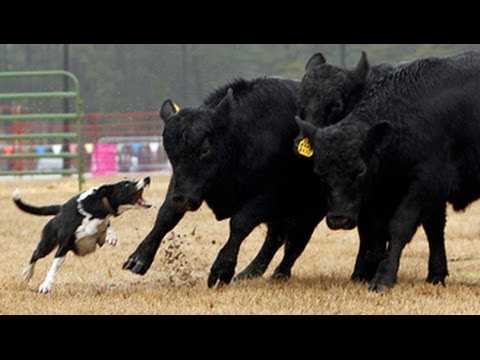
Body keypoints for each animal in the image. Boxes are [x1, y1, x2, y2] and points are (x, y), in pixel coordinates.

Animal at [12, 177, 152, 292]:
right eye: (127, 184)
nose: (147, 178)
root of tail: (59, 209)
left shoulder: (99, 233)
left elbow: (107, 226)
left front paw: (111, 236)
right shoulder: (64, 247)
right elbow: (53, 268)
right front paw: (45, 285)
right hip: (47, 244)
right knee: (35, 254)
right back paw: (27, 272)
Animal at [123, 77, 326, 286]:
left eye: (205, 148)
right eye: (169, 151)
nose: (183, 199)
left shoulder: (270, 194)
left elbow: (240, 223)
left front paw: (222, 269)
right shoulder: (180, 185)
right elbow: (166, 215)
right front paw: (139, 258)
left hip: (309, 208)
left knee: (294, 240)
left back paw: (279, 273)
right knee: (277, 237)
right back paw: (250, 272)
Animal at [294, 50, 480, 292]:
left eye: (360, 170)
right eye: (320, 174)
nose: (338, 219)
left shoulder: (427, 183)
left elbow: (399, 226)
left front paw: (382, 276)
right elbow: (421, 229)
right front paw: (435, 274)